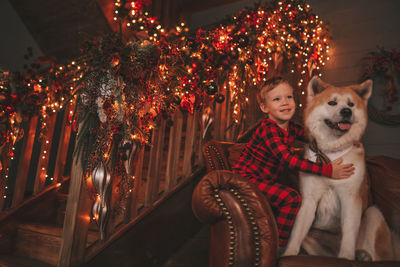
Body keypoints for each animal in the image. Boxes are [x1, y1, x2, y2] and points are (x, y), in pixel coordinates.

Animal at [282, 76, 398, 260]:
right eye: (332, 103)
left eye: (351, 104)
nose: (346, 111)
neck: (332, 153)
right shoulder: (309, 200)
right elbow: (297, 232)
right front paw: (289, 254)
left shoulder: (351, 198)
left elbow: (349, 233)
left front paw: (346, 257)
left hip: (373, 213)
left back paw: (362, 255)